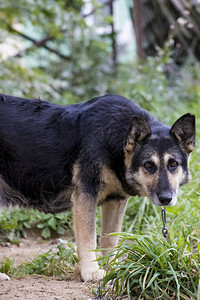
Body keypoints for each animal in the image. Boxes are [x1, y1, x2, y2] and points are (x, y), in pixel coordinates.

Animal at [0, 92, 196, 280]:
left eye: (173, 164)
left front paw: (112, 269)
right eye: (148, 165)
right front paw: (91, 272)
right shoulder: (85, 195)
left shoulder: (116, 201)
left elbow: (110, 240)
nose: (166, 199)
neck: (114, 140)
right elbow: (89, 238)